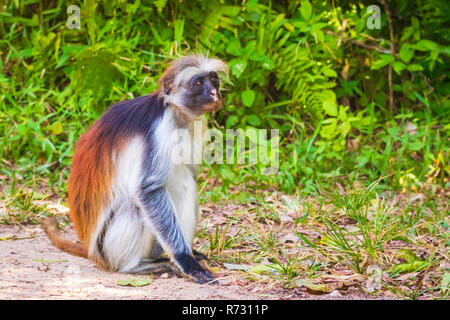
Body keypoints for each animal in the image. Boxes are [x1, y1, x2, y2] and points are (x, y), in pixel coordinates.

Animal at [41, 54, 229, 282]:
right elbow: (148, 191)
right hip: (108, 247)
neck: (176, 113)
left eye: (214, 79)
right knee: (140, 204)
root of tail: (93, 252)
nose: (213, 92)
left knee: (184, 181)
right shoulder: (160, 128)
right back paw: (136, 266)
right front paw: (185, 259)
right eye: (199, 83)